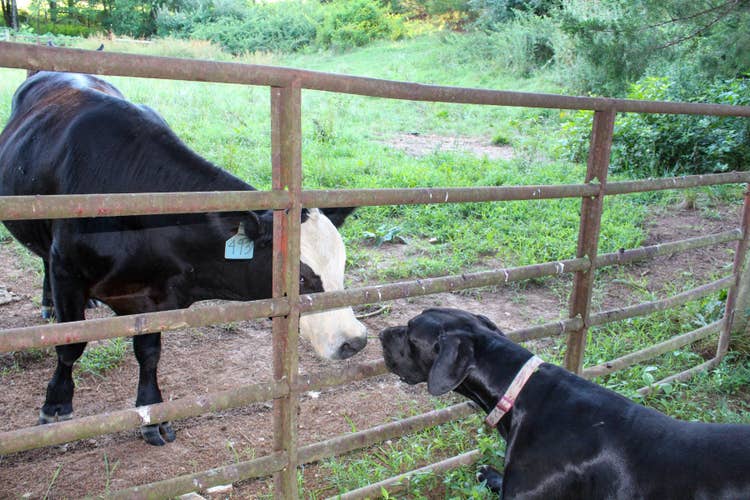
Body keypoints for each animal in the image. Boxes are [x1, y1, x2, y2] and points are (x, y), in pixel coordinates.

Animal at [0, 71, 368, 446]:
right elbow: (71, 345)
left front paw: (153, 414)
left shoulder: (153, 297)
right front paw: (56, 405)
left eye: (341, 268)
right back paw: (48, 304)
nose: (355, 341)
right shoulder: (67, 270)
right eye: (302, 277)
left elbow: (149, 353)